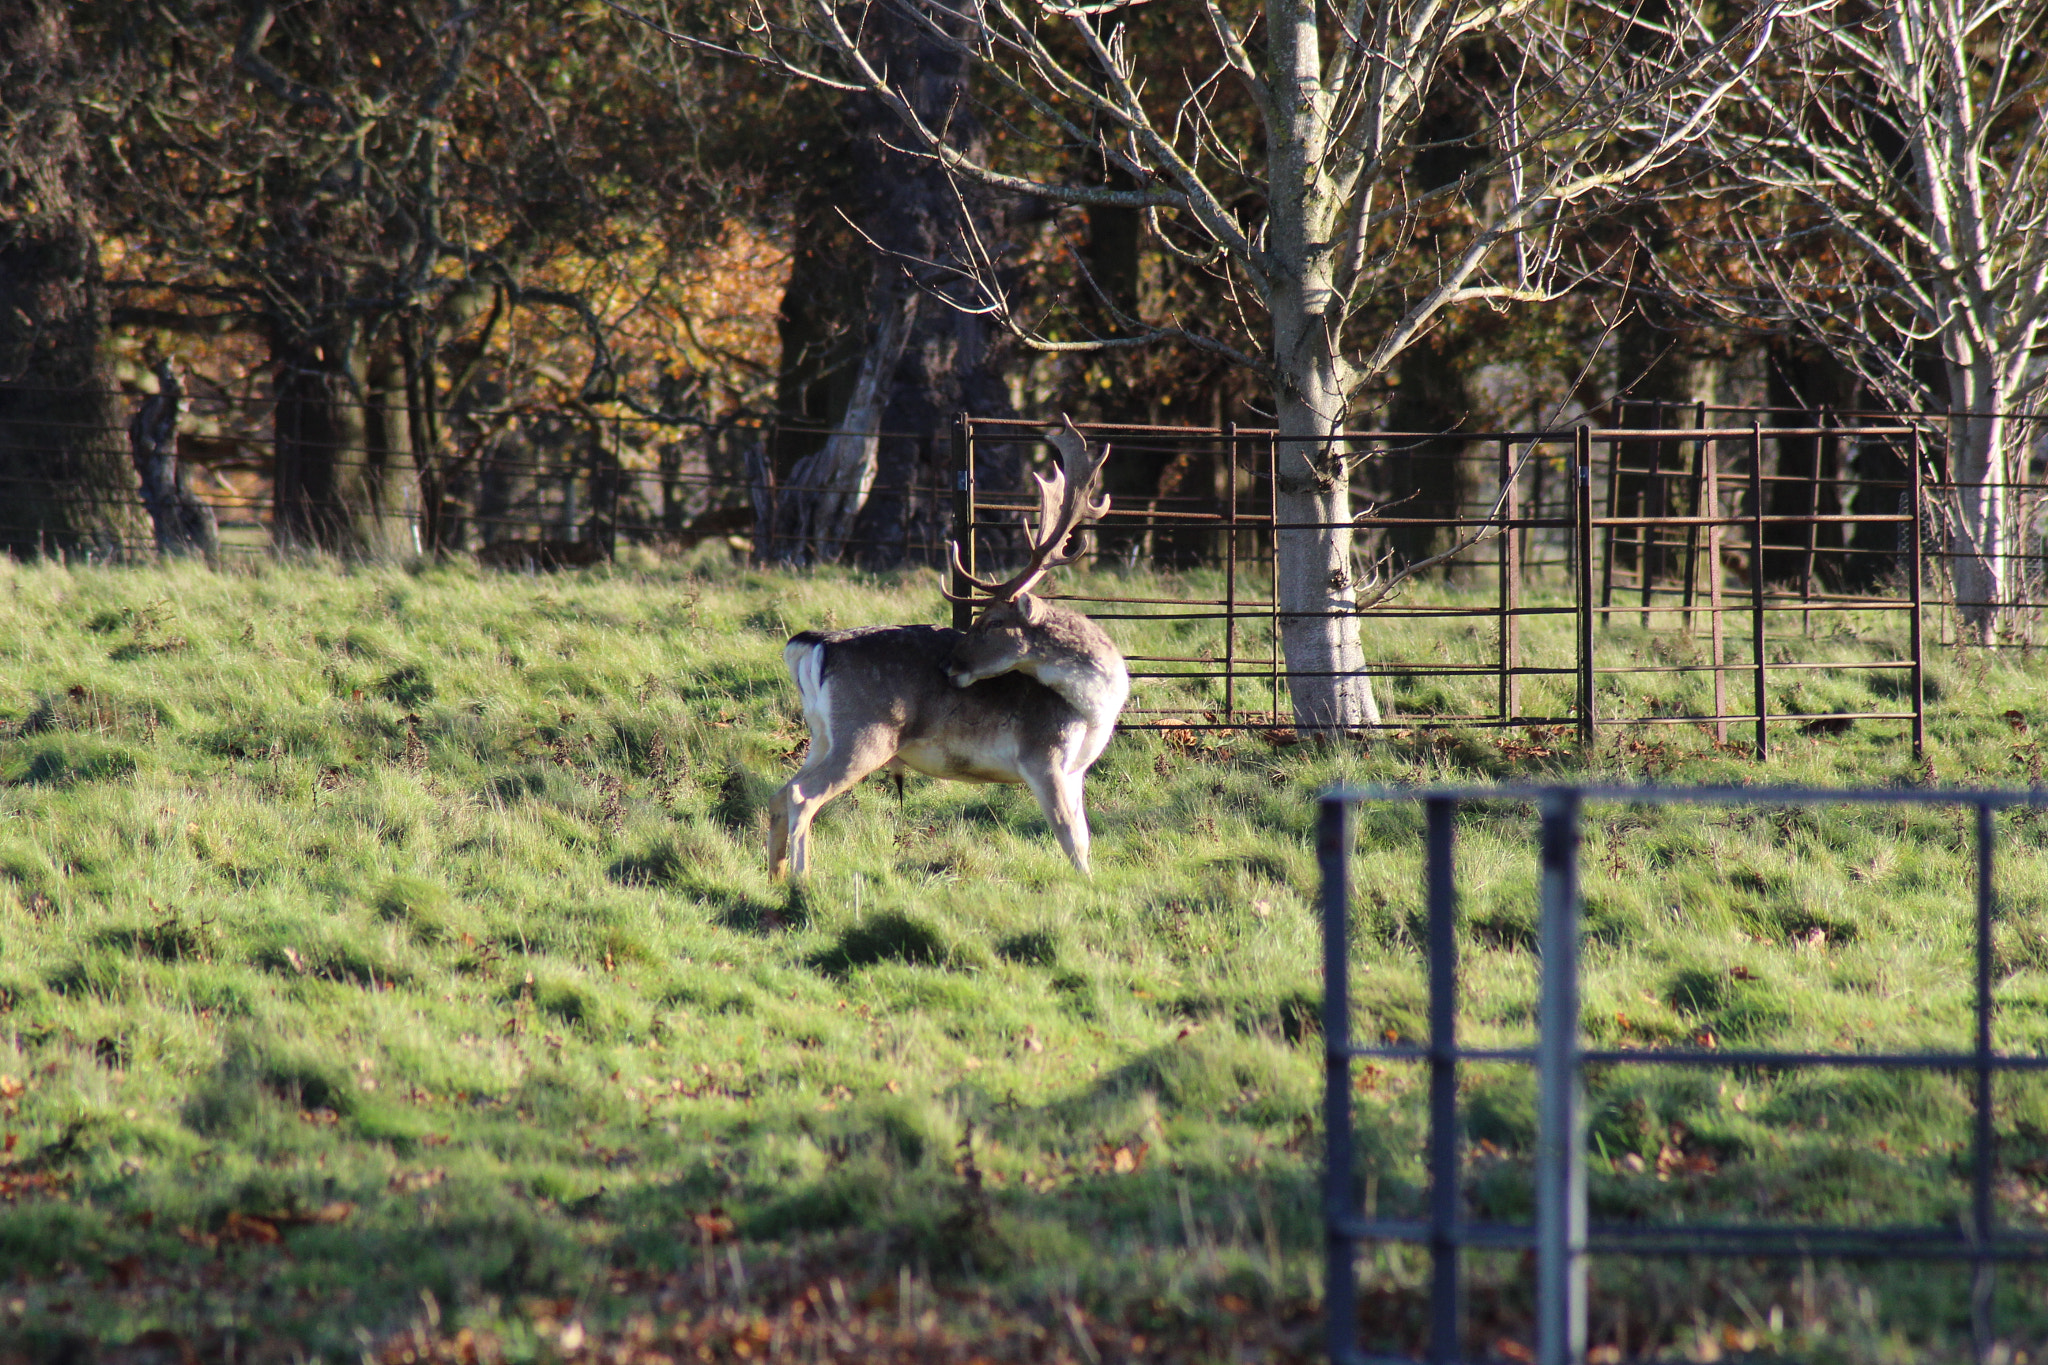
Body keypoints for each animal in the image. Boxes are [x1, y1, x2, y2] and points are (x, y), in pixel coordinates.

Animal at [768, 418, 1128, 879]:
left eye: (993, 622)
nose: (949, 664)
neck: (1094, 707)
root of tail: (813, 643)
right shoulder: (1043, 755)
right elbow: (1072, 841)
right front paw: (1087, 885)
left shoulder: (1075, 769)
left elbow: (1083, 837)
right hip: (866, 734)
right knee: (802, 795)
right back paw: (802, 879)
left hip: (822, 734)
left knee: (780, 792)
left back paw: (775, 876)